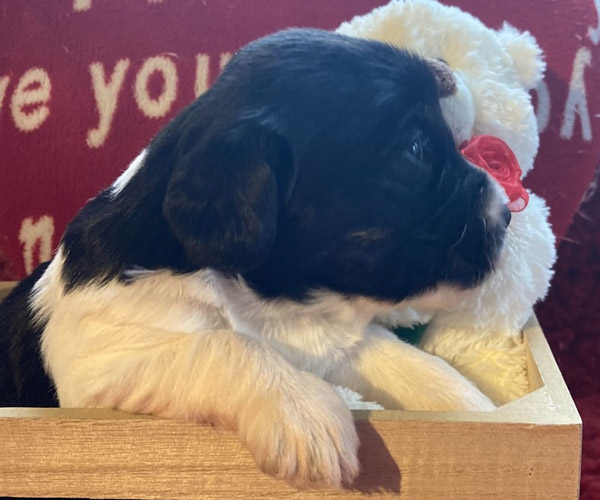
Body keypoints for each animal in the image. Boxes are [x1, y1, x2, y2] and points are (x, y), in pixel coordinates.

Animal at [0, 29, 510, 488]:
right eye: (416, 147)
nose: (506, 214)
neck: (273, 304)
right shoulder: (98, 363)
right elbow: (224, 344)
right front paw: (306, 411)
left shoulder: (336, 339)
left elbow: (409, 361)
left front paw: (481, 410)